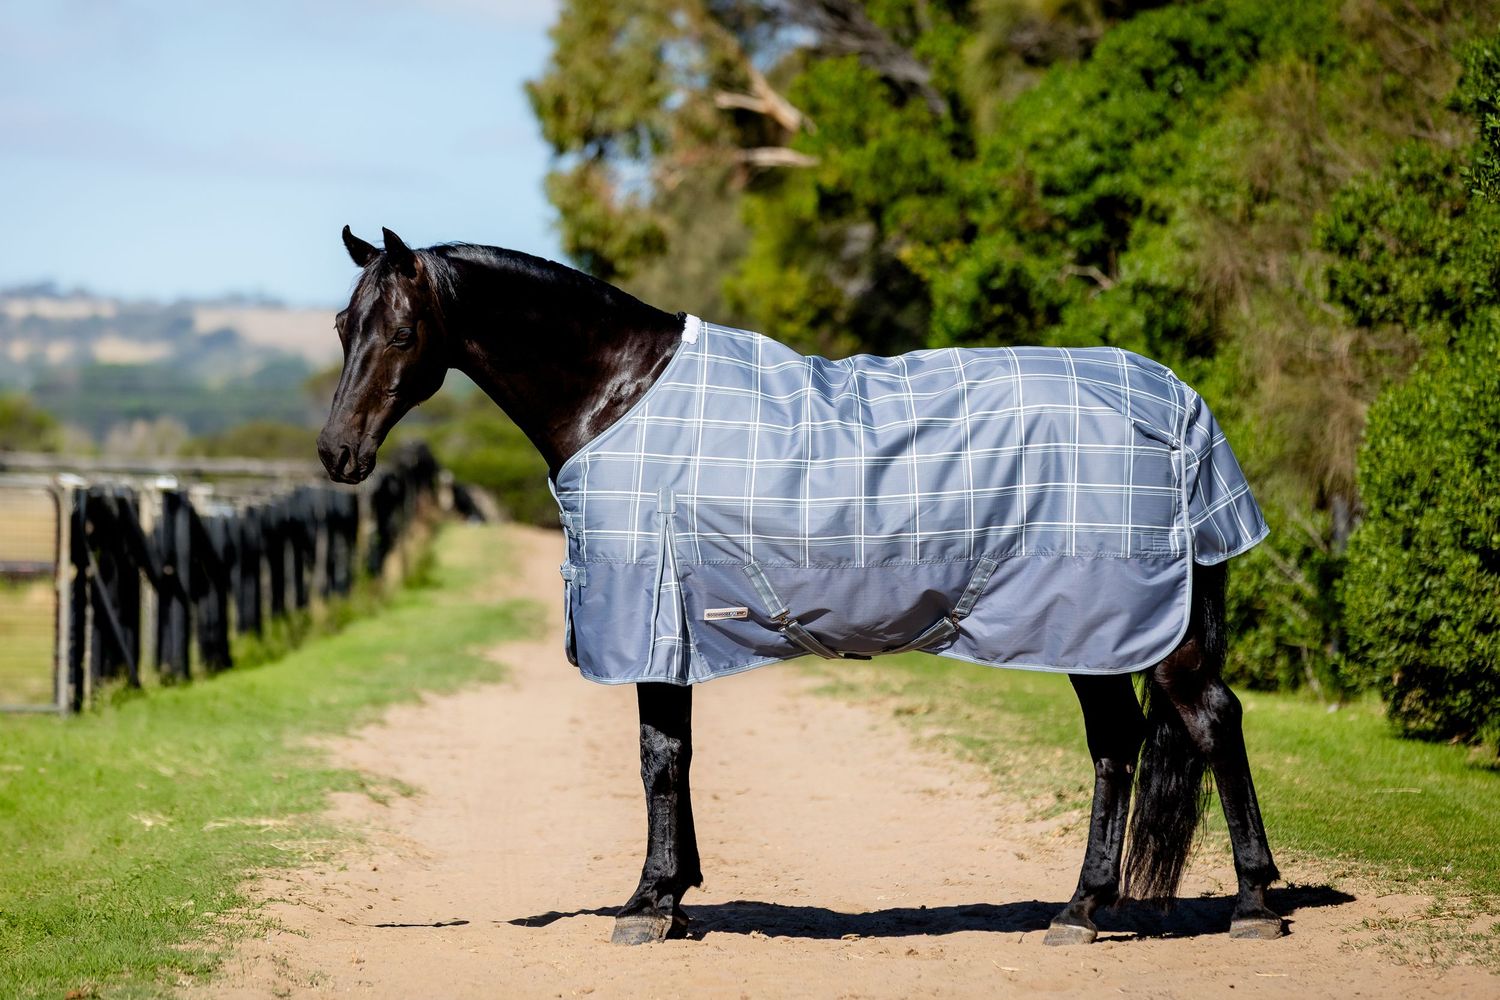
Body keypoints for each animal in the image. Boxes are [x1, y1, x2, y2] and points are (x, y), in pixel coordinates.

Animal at [317, 226, 1283, 947]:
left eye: (401, 334)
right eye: (339, 325)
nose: (337, 453)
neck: (620, 398)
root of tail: (1175, 402)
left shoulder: (655, 617)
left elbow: (658, 758)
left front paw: (648, 904)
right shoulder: (678, 630)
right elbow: (674, 754)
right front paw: (676, 894)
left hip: (1128, 622)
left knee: (1210, 720)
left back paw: (1252, 902)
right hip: (1094, 627)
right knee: (1120, 742)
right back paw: (1081, 909)